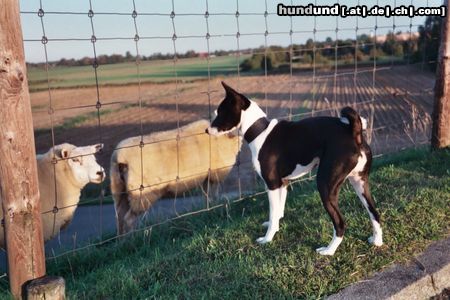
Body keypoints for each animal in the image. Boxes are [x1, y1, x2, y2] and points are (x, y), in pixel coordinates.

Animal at [110, 118, 241, 233]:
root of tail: (120, 158)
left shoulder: (207, 178)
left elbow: (208, 198)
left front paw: (209, 210)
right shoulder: (215, 175)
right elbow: (214, 196)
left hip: (119, 191)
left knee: (119, 217)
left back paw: (121, 241)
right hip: (141, 194)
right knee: (128, 220)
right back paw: (132, 238)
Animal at [206, 82, 382, 255]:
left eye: (220, 112)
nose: (206, 130)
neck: (260, 131)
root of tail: (354, 133)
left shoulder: (272, 184)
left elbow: (273, 212)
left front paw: (267, 238)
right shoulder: (283, 183)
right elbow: (278, 211)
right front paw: (275, 226)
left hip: (326, 186)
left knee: (340, 223)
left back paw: (329, 250)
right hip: (360, 183)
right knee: (374, 213)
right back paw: (377, 241)